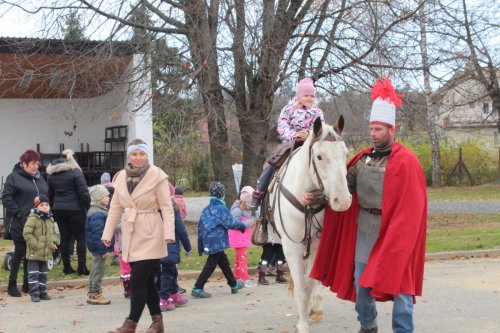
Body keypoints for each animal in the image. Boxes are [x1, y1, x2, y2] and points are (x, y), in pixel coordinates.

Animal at [270, 115, 352, 330]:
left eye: (345, 153)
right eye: (319, 157)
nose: (342, 201)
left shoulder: (317, 245)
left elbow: (311, 281)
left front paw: (310, 312)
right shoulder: (290, 247)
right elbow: (300, 288)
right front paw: (302, 325)